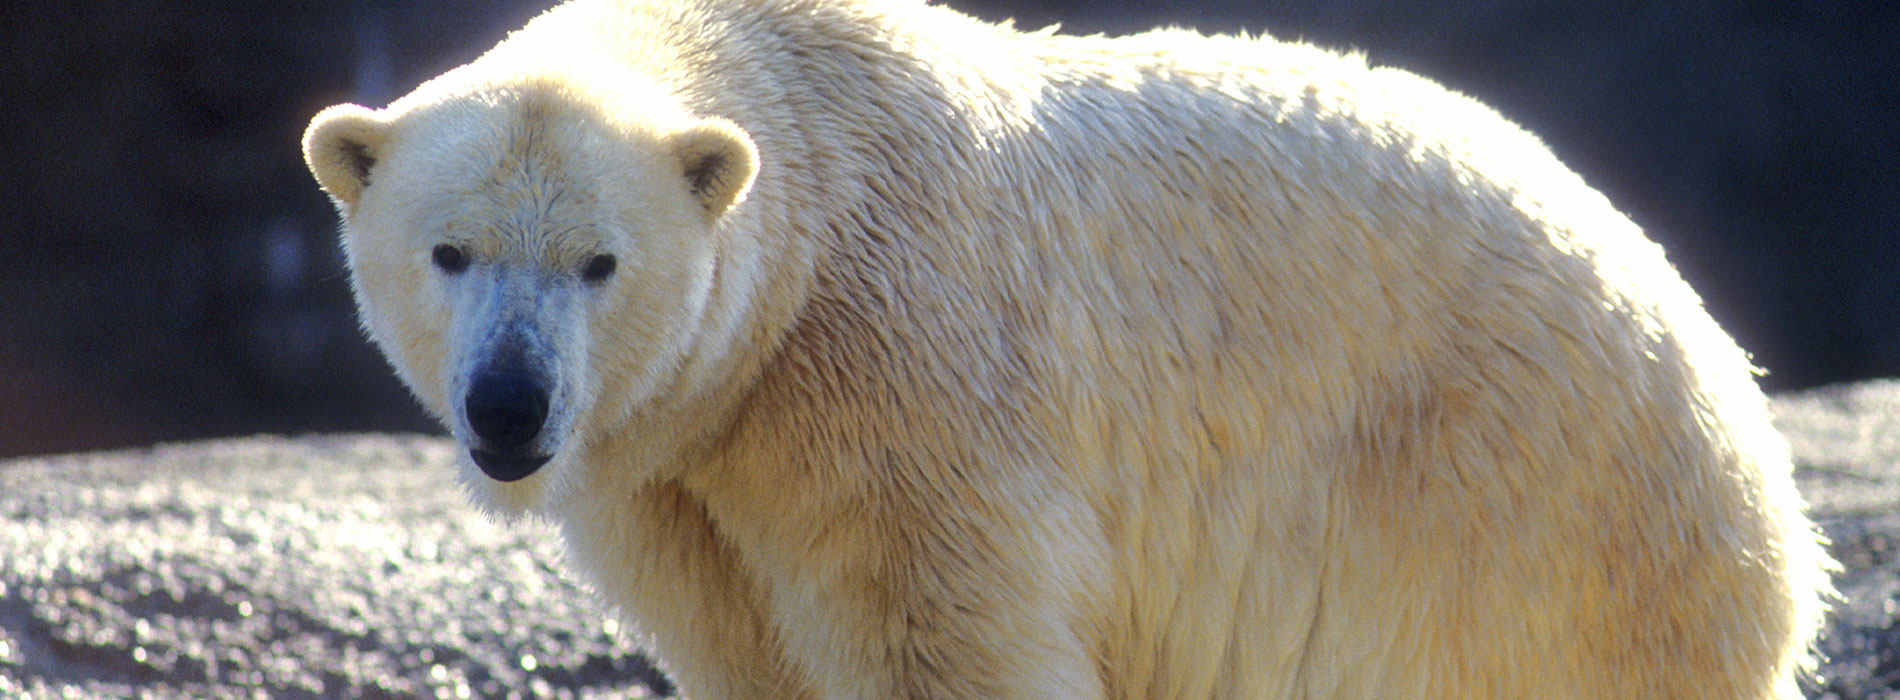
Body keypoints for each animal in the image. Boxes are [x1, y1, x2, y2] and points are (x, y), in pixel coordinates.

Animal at [301, 0, 1834, 698]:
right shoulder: (685, 479)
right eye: (450, 251)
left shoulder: (902, 392)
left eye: (598, 262)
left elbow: (942, 636)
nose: (510, 403)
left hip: (1519, 534)